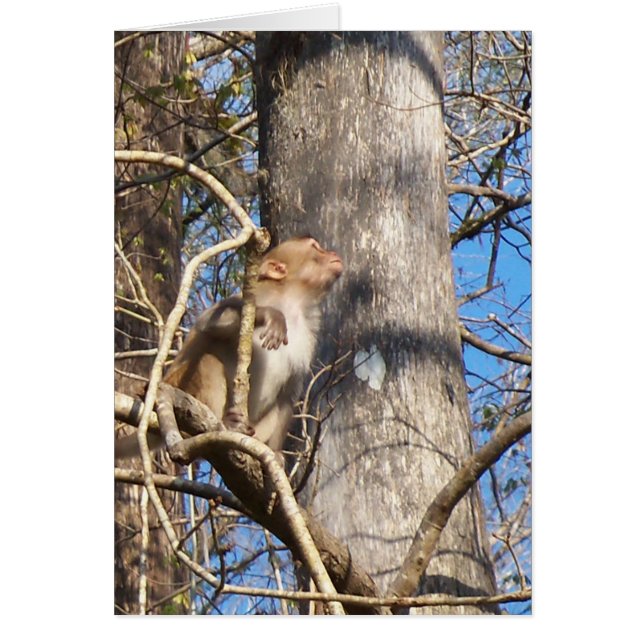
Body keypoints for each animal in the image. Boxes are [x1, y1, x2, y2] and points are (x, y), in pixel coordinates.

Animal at [115, 236, 343, 461]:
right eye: (316, 248)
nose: (333, 253)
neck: (292, 301)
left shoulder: (309, 335)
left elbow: (288, 395)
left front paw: (277, 453)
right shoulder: (257, 296)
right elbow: (208, 321)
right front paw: (270, 315)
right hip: (181, 385)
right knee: (208, 361)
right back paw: (225, 424)